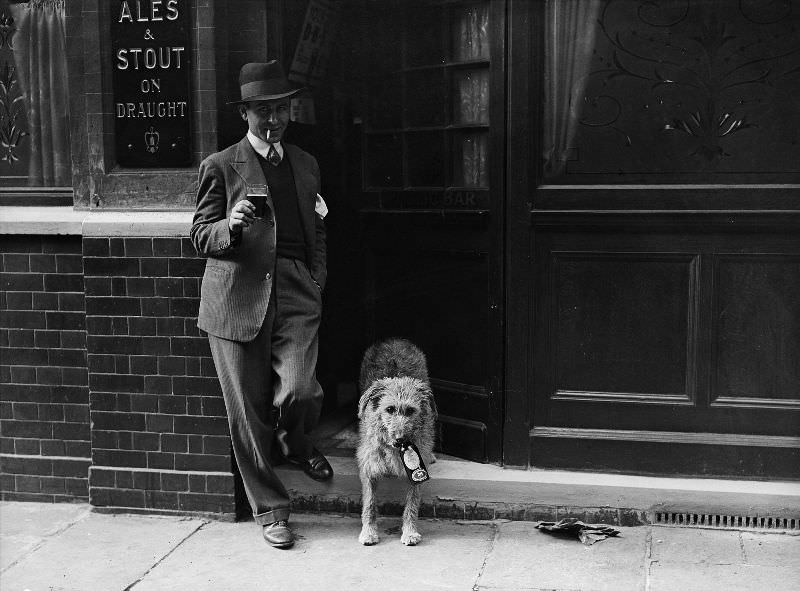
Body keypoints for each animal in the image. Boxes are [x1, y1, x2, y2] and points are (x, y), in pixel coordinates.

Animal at [356, 338, 438, 544]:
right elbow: (369, 504)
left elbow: (412, 504)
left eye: (410, 410)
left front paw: (410, 532)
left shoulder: (417, 472)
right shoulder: (369, 467)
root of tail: (394, 340)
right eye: (389, 409)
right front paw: (368, 531)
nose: (400, 439)